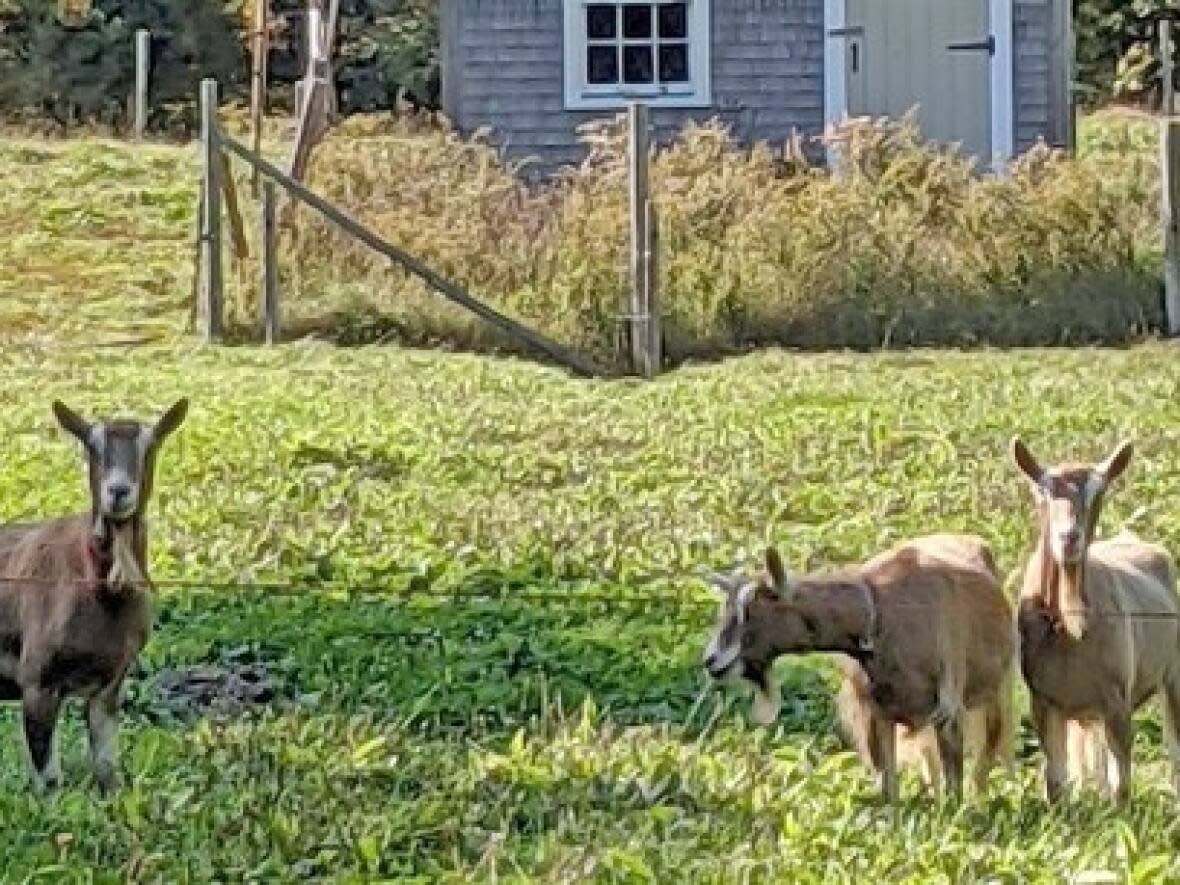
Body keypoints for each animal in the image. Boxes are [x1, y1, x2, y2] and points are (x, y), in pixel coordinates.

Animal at [0, 398, 186, 792]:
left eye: (151, 445)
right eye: (91, 445)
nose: (118, 492)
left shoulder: (111, 684)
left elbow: (106, 769)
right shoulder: (37, 681)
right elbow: (49, 781)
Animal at [698, 533, 1014, 802]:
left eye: (750, 612)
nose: (711, 661)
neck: (879, 616)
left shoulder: (947, 708)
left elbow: (953, 788)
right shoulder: (877, 712)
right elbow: (889, 790)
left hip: (995, 694)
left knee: (988, 750)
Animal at [1010, 436, 1180, 802]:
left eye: (1098, 492)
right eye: (1042, 492)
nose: (1069, 538)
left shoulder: (1117, 699)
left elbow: (1122, 785)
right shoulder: (1043, 701)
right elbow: (1055, 782)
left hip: (1173, 674)